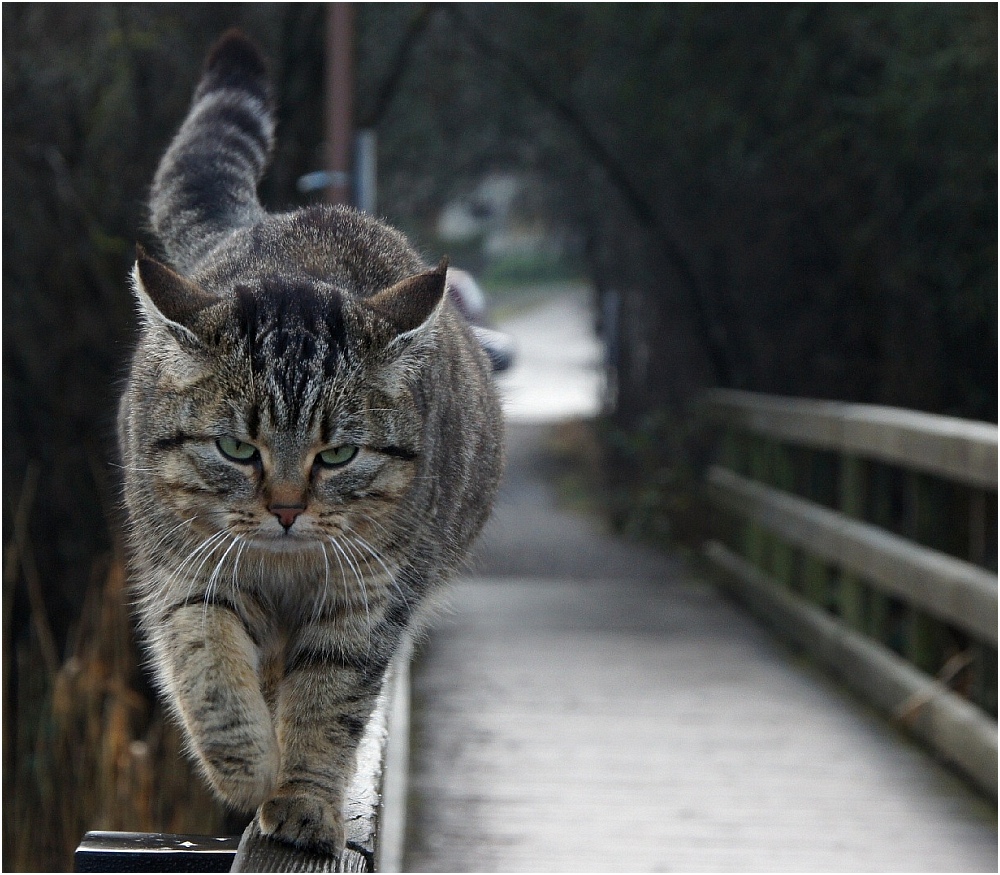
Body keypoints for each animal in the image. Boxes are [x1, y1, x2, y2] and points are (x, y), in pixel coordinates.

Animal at [120, 29, 504, 856]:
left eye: (338, 454)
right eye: (237, 450)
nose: (288, 510)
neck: (284, 567)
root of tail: (268, 218)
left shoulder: (368, 598)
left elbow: (328, 703)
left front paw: (301, 797)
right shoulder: (186, 571)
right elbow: (209, 670)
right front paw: (244, 767)